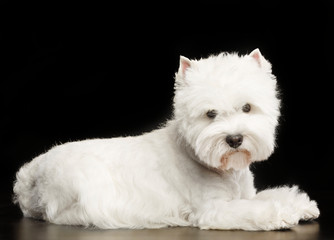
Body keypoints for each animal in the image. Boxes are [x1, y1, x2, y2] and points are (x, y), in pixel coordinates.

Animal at [13, 48, 320, 231]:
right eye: (210, 114)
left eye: (247, 107)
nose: (234, 139)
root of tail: (30, 174)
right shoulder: (212, 209)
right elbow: (255, 209)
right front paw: (281, 213)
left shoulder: (246, 194)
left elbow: (270, 195)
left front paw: (303, 206)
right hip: (82, 189)